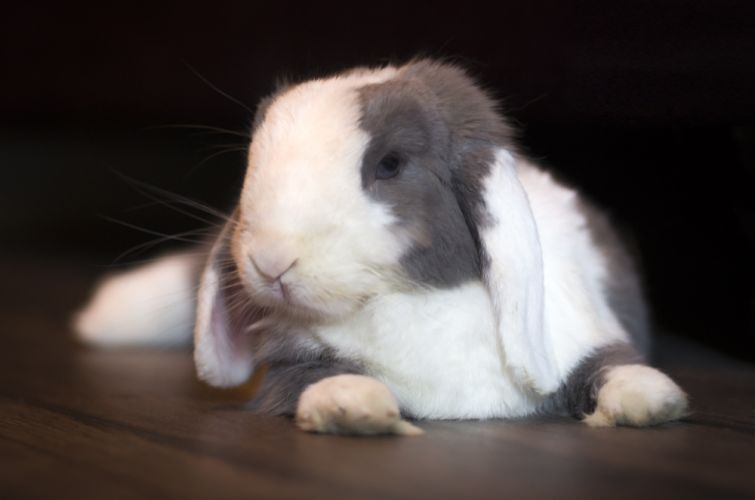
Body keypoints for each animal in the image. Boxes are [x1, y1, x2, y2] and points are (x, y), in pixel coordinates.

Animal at [76, 59, 688, 435]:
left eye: (390, 165)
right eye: (253, 161)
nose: (269, 262)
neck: (406, 300)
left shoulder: (584, 331)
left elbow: (612, 366)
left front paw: (655, 399)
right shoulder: (292, 365)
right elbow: (315, 380)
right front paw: (354, 405)